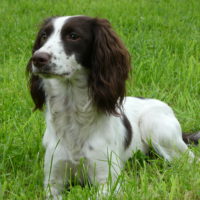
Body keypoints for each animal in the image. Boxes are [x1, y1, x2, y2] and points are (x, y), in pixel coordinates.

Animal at [26, 15, 198, 198]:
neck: (73, 113)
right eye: (44, 36)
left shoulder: (109, 182)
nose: (38, 58)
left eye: (73, 36)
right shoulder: (52, 180)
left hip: (156, 127)